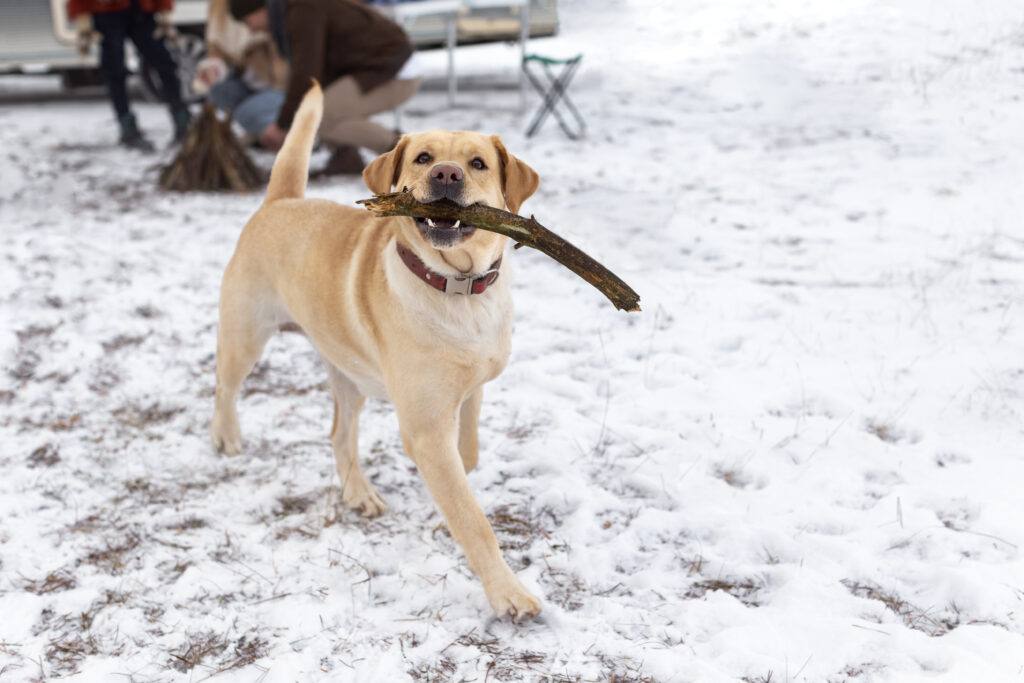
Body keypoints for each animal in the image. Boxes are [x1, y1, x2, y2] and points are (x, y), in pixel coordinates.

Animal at [209, 83, 544, 618]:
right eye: (423, 157)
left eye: (477, 163)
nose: (445, 174)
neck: (457, 287)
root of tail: (281, 201)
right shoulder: (425, 428)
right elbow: (473, 519)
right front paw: (506, 592)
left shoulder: (470, 392)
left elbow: (467, 460)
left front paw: (443, 514)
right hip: (246, 334)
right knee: (223, 385)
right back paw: (226, 436)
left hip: (349, 374)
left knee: (338, 435)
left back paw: (358, 493)